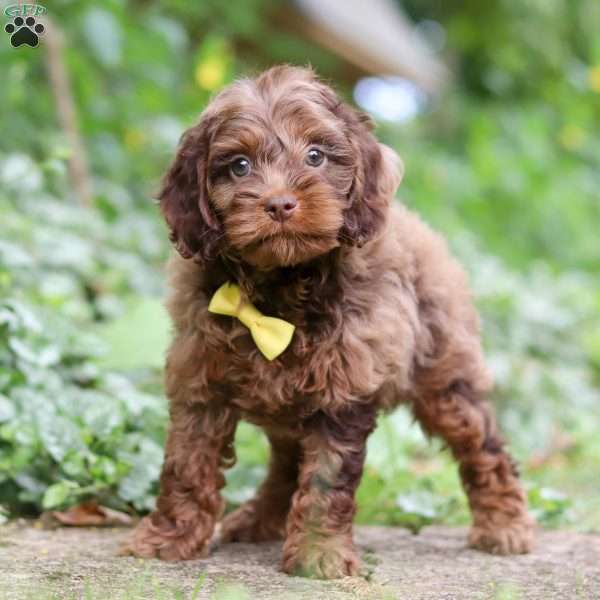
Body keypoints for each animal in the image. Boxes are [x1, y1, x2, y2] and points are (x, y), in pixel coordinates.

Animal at [122, 64, 536, 576]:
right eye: (239, 165)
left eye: (315, 155)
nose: (280, 204)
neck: (278, 292)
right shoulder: (200, 381)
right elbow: (185, 464)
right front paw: (168, 538)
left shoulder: (344, 389)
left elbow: (325, 479)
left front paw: (319, 555)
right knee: (285, 463)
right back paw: (260, 519)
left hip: (445, 379)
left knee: (484, 447)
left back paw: (504, 525)